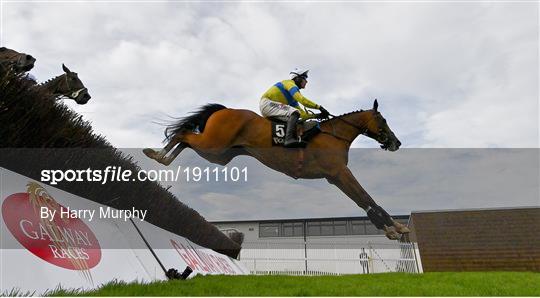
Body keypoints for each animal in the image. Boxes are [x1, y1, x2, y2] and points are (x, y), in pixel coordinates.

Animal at [143, 100, 410, 240]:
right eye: (383, 120)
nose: (396, 142)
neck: (335, 134)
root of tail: (224, 109)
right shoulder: (340, 172)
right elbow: (367, 197)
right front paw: (395, 228)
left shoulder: (334, 176)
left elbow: (363, 200)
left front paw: (392, 227)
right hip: (213, 145)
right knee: (183, 134)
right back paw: (157, 155)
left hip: (218, 154)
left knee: (186, 140)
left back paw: (161, 157)